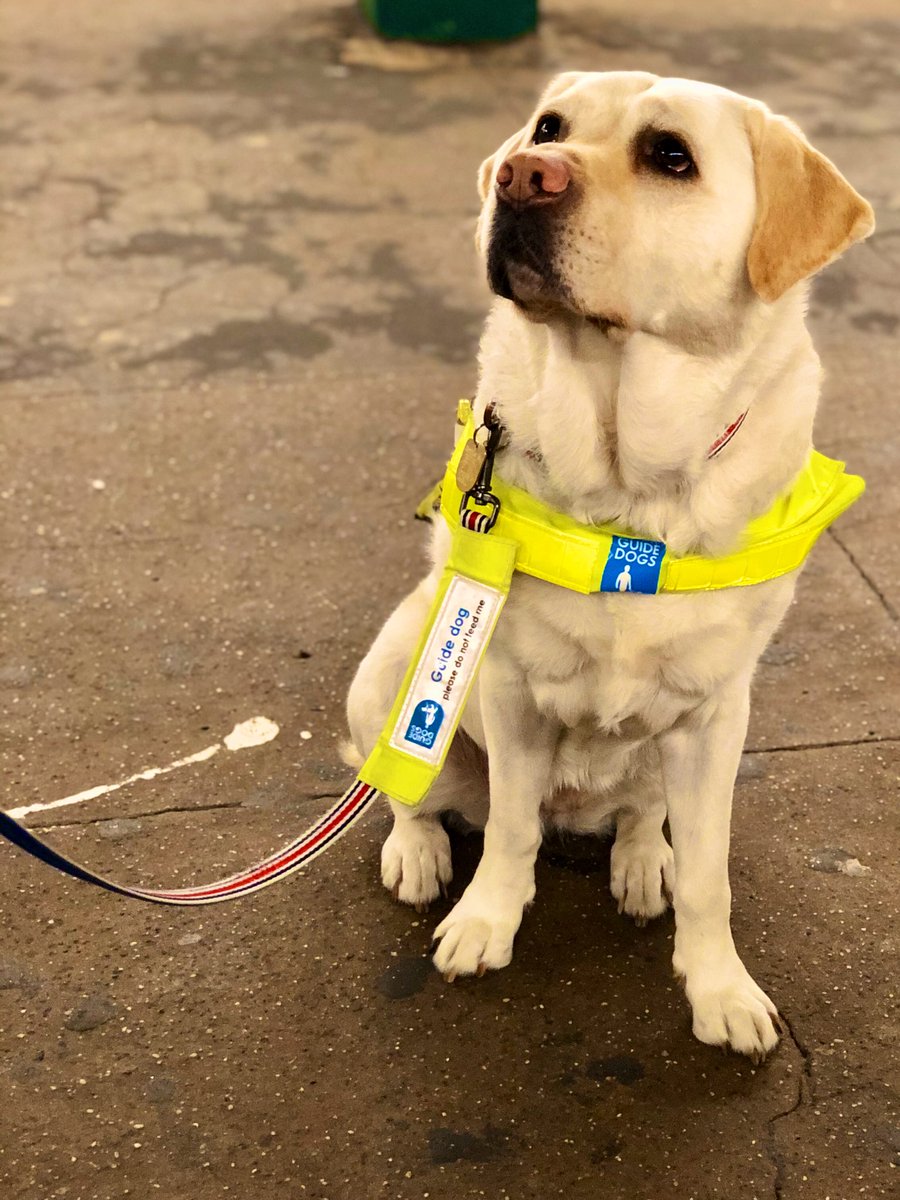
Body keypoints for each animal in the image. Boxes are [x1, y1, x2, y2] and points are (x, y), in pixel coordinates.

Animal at [345, 72, 873, 1060]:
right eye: (550, 127)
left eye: (671, 155)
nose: (520, 173)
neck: (631, 497)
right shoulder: (508, 689)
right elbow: (511, 831)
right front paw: (485, 924)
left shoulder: (714, 717)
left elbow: (708, 874)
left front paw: (720, 989)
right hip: (397, 666)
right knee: (409, 789)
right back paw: (418, 851)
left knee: (640, 815)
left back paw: (639, 860)